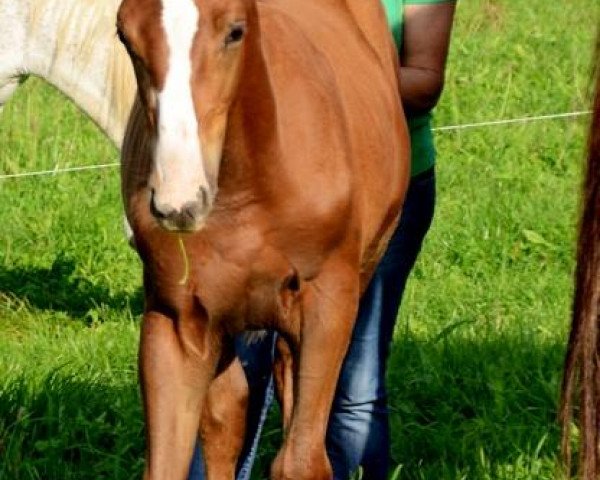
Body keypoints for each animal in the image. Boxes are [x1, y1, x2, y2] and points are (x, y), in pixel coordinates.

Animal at [116, 1, 408, 478]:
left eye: (236, 32)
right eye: (125, 36)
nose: (179, 200)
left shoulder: (329, 305)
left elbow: (301, 462)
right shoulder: (175, 321)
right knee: (227, 414)